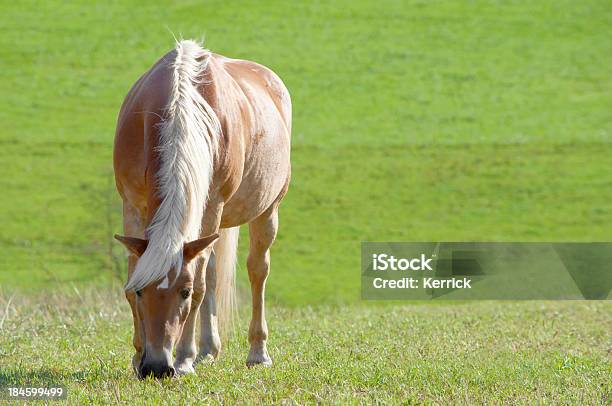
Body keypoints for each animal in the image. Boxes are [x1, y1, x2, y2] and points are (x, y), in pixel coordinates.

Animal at [113, 39, 292, 380]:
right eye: (142, 292)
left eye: (182, 293)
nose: (157, 366)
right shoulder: (131, 204)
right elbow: (134, 277)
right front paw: (137, 355)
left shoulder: (212, 205)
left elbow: (200, 285)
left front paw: (184, 358)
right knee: (211, 269)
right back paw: (208, 350)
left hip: (267, 211)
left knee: (257, 271)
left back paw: (257, 352)